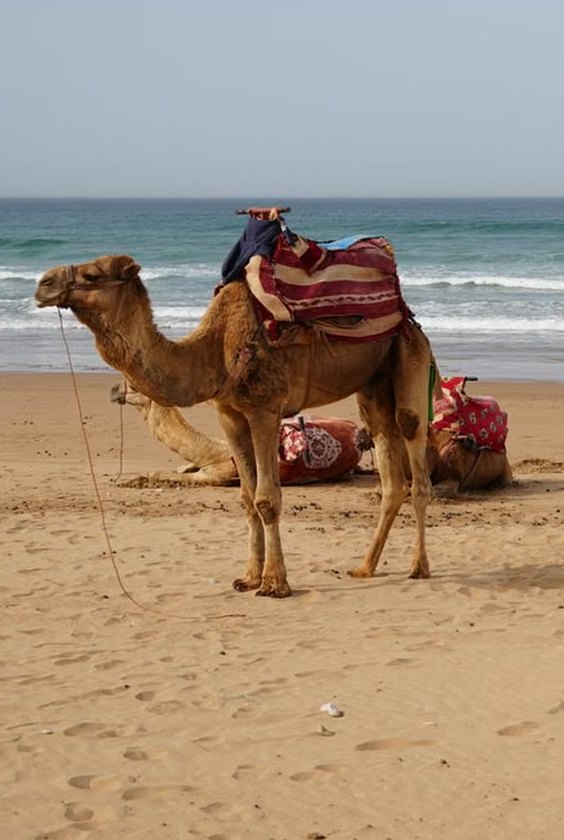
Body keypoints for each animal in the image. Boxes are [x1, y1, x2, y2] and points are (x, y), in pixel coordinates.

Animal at [36, 253, 434, 597]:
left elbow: (267, 498)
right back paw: (365, 567)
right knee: (390, 471)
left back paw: (419, 567)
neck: (214, 351)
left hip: (410, 354)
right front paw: (248, 578)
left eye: (93, 275)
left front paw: (274, 584)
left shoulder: (264, 409)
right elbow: (246, 498)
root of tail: (408, 316)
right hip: (373, 385)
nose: (43, 284)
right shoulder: (229, 415)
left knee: (414, 449)